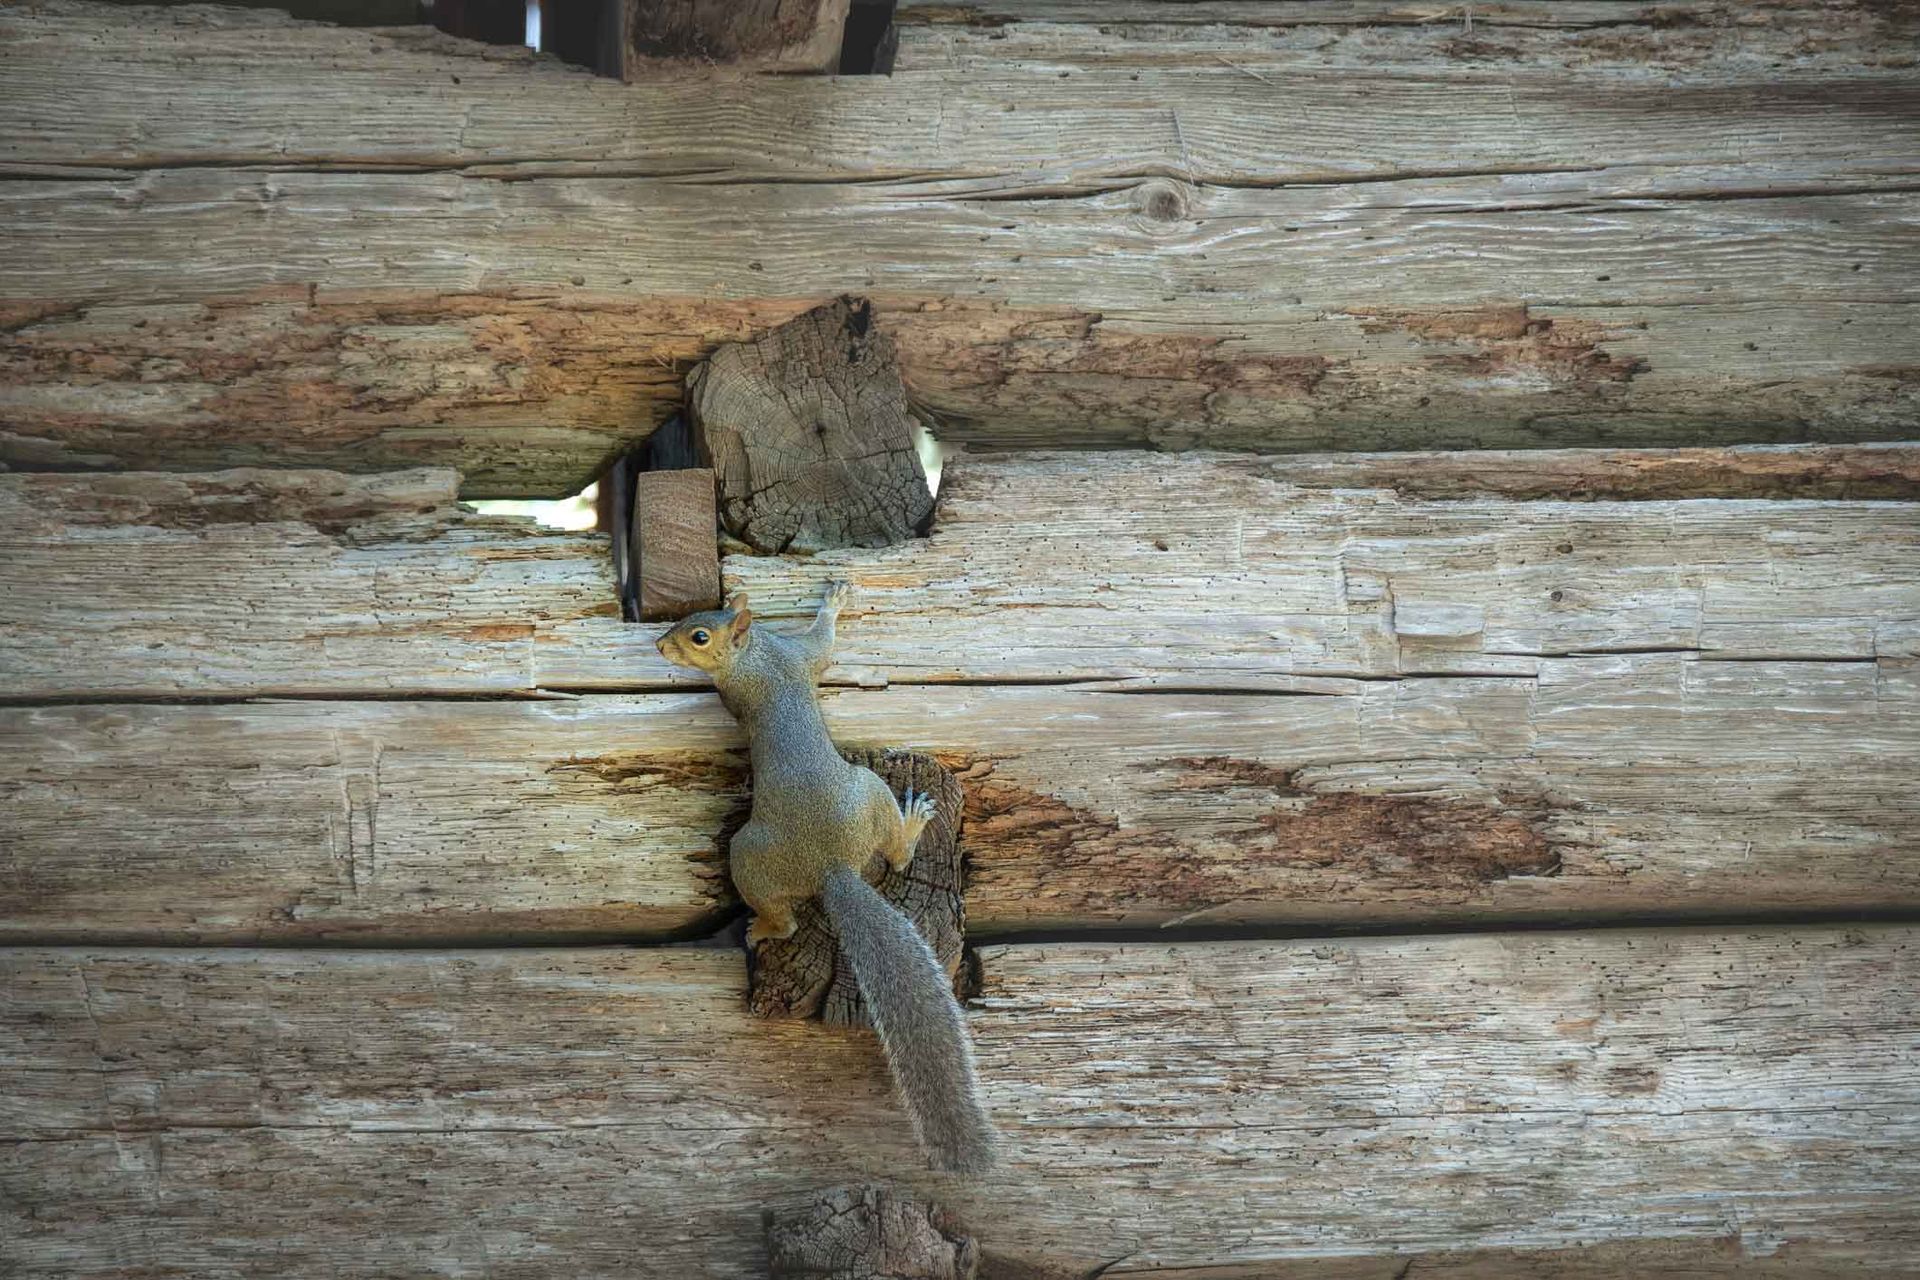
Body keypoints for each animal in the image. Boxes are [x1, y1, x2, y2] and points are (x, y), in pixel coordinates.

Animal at [656, 582, 998, 1175]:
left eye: (698, 635)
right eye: (692, 617)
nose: (659, 644)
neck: (758, 652)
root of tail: (833, 866)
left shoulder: (777, 666)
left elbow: (818, 647)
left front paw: (832, 602)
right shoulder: (790, 658)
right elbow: (820, 648)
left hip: (763, 848)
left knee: (814, 907)